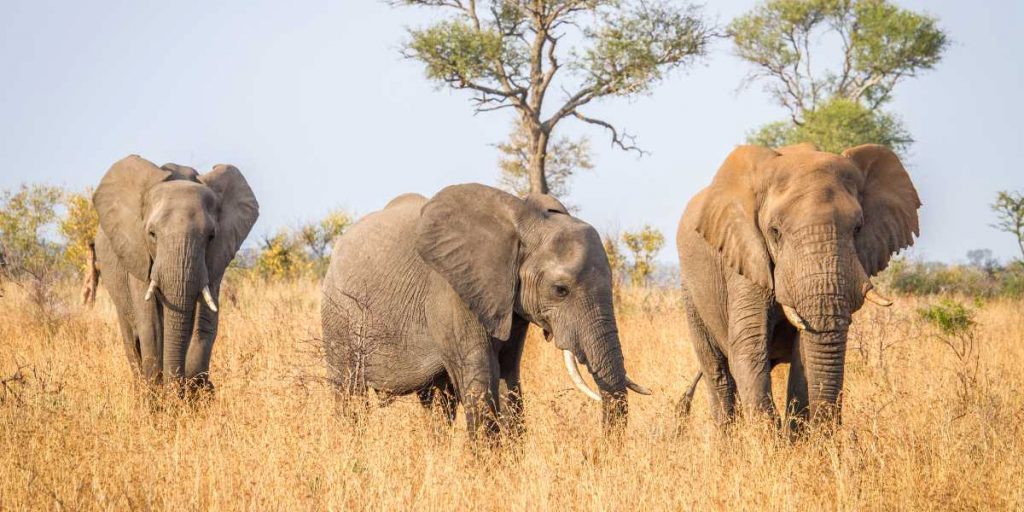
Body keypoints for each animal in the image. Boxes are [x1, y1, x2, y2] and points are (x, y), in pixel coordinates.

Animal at [93, 155, 258, 394]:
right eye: (152, 234)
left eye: (211, 236)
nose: (175, 389)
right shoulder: (138, 252)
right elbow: (150, 323)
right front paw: (158, 397)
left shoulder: (215, 259)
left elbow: (204, 321)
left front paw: (195, 393)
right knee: (131, 338)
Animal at [321, 184, 649, 439]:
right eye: (560, 290)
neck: (525, 221)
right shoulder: (452, 292)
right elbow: (480, 379)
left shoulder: (510, 303)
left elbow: (508, 377)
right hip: (338, 313)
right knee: (349, 392)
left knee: (437, 403)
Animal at [676, 143, 920, 429]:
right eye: (775, 231)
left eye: (858, 228)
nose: (830, 429)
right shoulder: (745, 257)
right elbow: (749, 345)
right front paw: (768, 437)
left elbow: (803, 356)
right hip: (691, 291)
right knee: (719, 374)